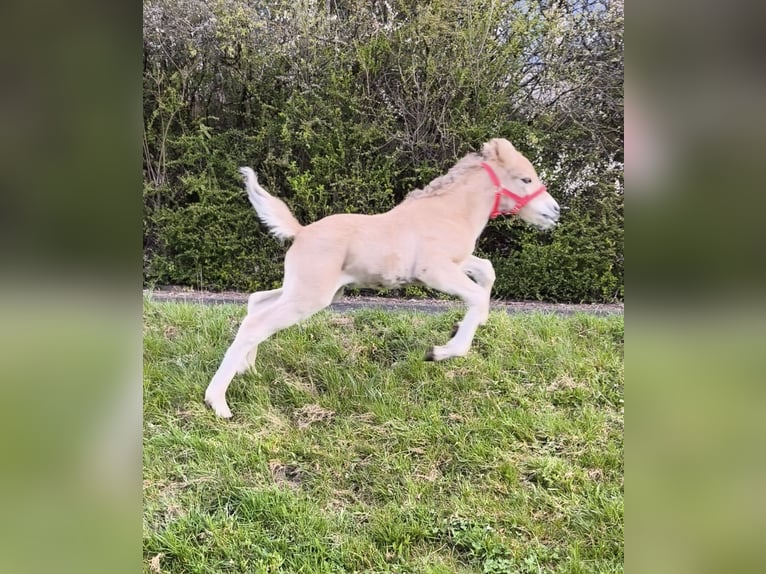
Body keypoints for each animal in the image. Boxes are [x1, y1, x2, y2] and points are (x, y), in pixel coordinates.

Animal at [204, 138, 560, 418]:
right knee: (256, 323)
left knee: (257, 303)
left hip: (305, 290)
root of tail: (301, 231)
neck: (448, 211)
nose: (555, 211)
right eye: (526, 178)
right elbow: (474, 294)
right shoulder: (434, 270)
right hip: (309, 296)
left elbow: (486, 271)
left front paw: (475, 321)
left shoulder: (457, 262)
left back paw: (248, 368)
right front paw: (440, 352)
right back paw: (218, 403)